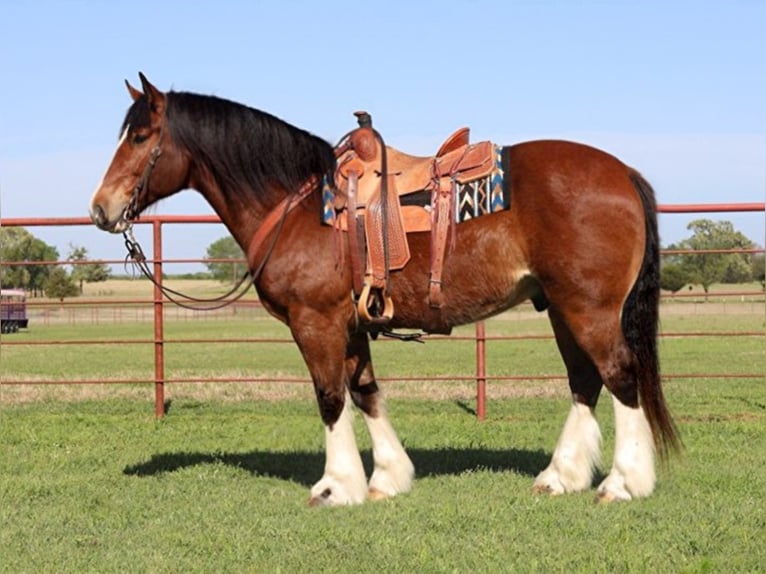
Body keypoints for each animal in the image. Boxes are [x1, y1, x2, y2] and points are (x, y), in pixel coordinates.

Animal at [87, 73, 680, 508]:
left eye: (139, 137)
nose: (100, 209)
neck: (296, 204)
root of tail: (623, 173)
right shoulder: (351, 323)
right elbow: (365, 392)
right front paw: (387, 476)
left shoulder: (316, 321)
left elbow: (330, 397)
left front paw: (336, 486)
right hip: (561, 308)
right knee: (585, 381)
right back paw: (561, 476)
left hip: (589, 309)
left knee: (620, 377)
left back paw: (623, 482)